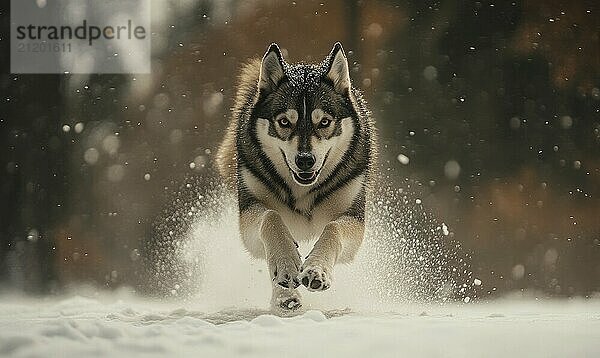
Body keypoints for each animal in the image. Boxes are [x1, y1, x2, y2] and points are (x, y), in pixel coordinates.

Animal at [217, 41, 376, 310]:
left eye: (324, 122)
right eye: (284, 122)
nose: (305, 160)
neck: (302, 190)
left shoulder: (353, 216)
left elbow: (332, 228)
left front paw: (316, 270)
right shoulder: (249, 213)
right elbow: (271, 217)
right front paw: (287, 264)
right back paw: (286, 297)